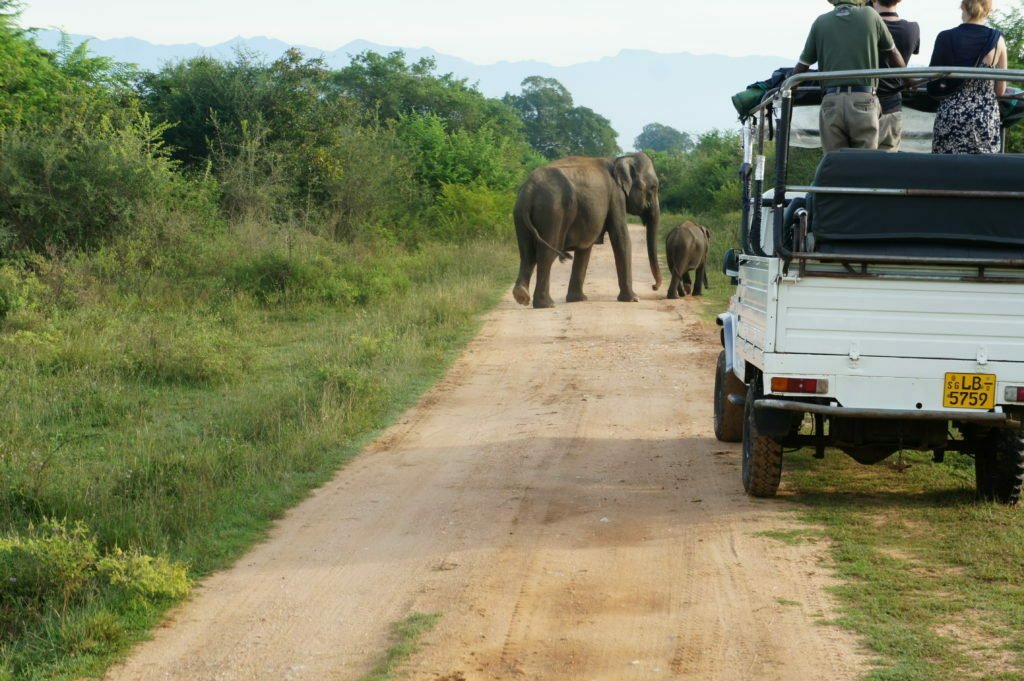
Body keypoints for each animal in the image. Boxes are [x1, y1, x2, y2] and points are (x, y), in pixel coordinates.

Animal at [512, 151, 663, 307]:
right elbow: (620, 236)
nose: (654, 287)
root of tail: (529, 190)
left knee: (527, 254)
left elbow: (585, 248)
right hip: (552, 212)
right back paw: (546, 304)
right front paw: (633, 299)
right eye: (653, 187)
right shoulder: (616, 196)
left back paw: (521, 295)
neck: (620, 159)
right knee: (546, 254)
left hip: (520, 214)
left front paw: (578, 299)